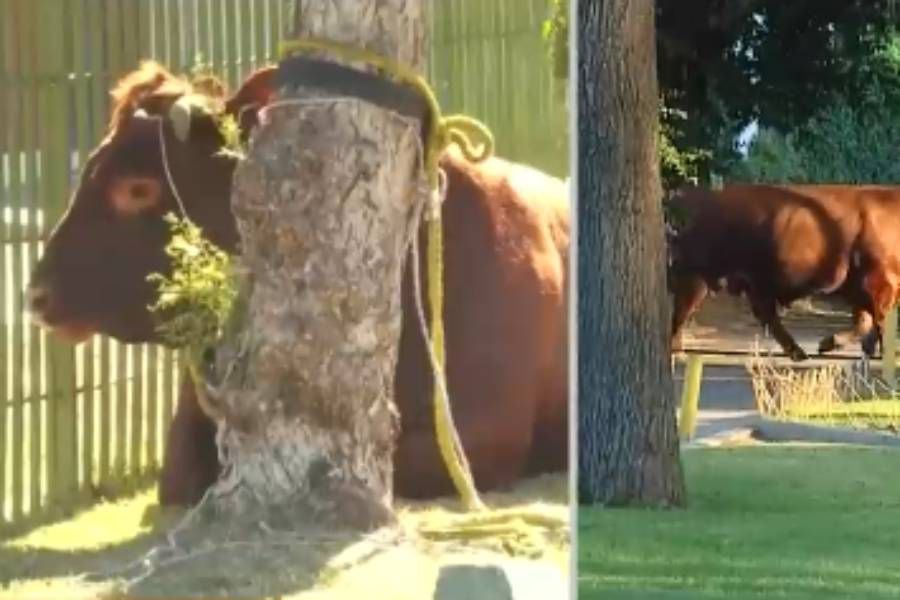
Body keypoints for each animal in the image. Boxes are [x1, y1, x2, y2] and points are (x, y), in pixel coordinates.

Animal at [664, 183, 896, 360]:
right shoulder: (880, 283)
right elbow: (878, 320)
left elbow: (865, 322)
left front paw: (835, 344)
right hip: (698, 277)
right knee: (681, 311)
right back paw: (676, 352)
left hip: (751, 282)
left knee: (766, 314)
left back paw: (798, 352)